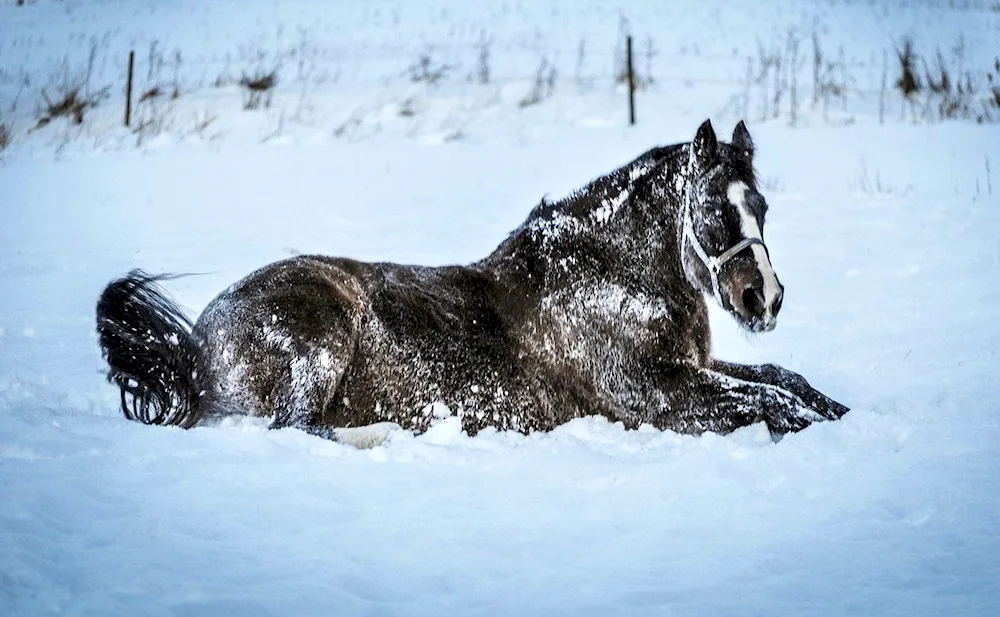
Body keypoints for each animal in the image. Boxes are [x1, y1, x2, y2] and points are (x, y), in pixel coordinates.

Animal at [97, 118, 848, 446]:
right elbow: (767, 402)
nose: (764, 299)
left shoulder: (694, 366)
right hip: (319, 341)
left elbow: (782, 379)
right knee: (297, 428)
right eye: (718, 210)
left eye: (763, 208)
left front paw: (841, 411)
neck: (610, 275)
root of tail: (195, 346)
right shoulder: (656, 393)